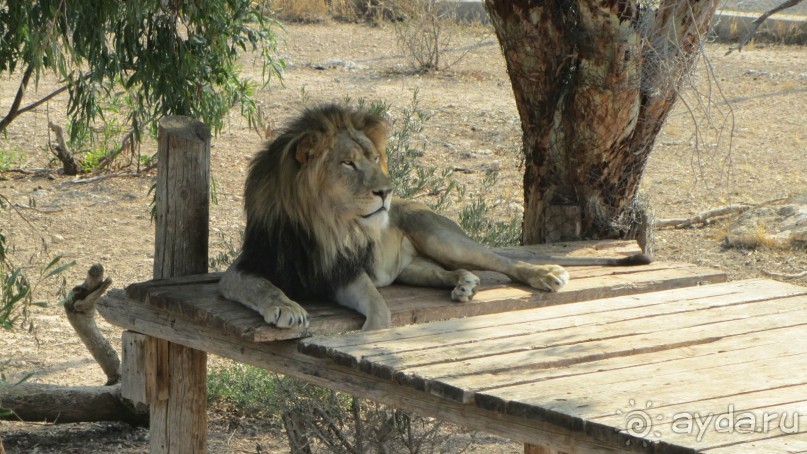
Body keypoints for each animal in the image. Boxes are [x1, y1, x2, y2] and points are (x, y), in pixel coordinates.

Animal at [219, 103, 652, 330]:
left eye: (373, 159)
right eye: (348, 164)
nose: (387, 191)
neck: (324, 226)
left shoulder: (345, 272)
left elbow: (376, 307)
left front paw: (370, 337)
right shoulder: (246, 267)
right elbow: (259, 287)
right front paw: (287, 306)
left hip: (439, 235)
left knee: (502, 261)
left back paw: (543, 274)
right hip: (413, 267)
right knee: (451, 272)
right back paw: (464, 286)